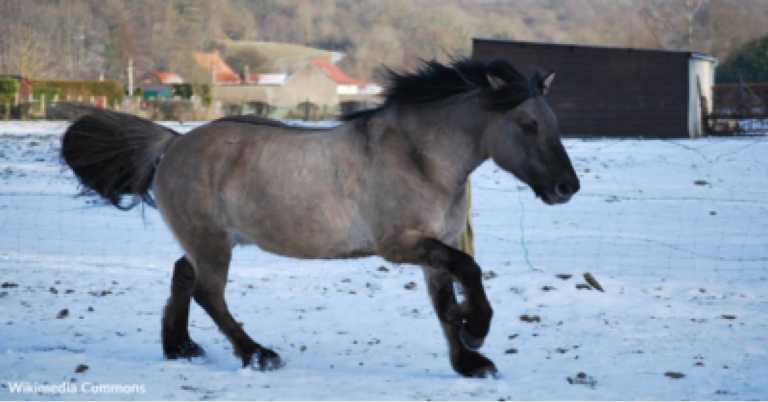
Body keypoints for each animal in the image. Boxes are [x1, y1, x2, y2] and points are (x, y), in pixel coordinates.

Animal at [61, 58, 579, 378]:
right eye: (527, 125)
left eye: (554, 122)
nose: (566, 188)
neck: (419, 157)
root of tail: (171, 144)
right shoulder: (400, 246)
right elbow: (467, 272)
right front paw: (476, 331)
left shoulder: (434, 247)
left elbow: (444, 301)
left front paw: (469, 360)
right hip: (213, 244)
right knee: (209, 293)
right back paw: (257, 354)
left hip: (211, 242)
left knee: (182, 276)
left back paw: (180, 349)